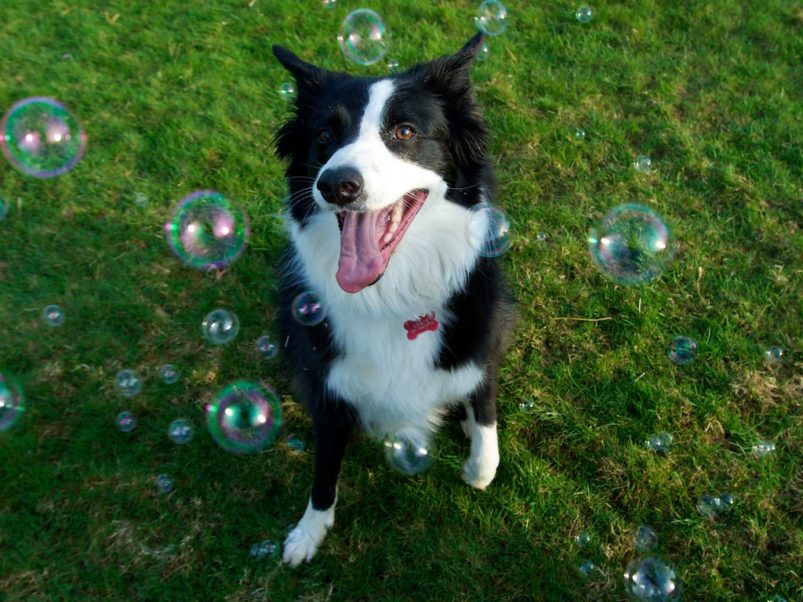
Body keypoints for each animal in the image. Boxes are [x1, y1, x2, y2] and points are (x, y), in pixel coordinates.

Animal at [274, 32, 516, 564]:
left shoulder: (482, 341)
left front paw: (477, 464)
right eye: (325, 135)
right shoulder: (328, 385)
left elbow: (485, 423)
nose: (336, 184)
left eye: (404, 132)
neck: (390, 295)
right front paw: (308, 531)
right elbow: (324, 470)